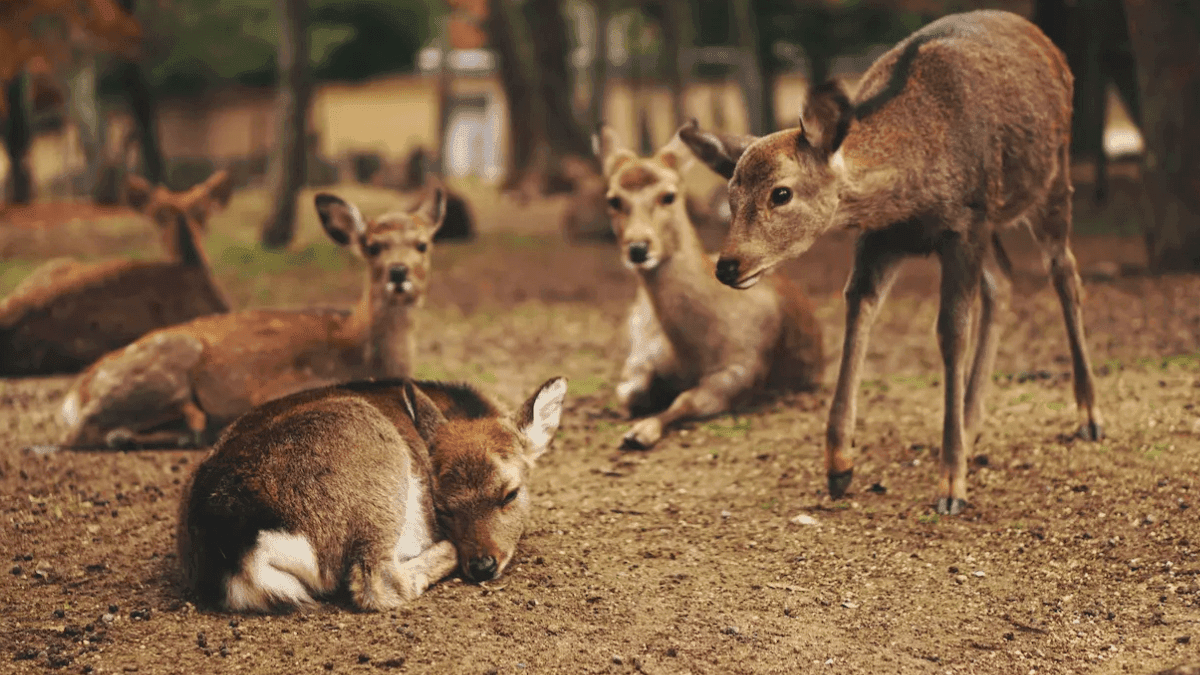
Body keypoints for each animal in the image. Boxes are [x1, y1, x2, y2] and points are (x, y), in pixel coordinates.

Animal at [59, 182, 447, 449]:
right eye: (372, 246)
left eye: (423, 244)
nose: (399, 272)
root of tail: (75, 393)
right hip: (166, 368)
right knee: (82, 432)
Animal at [595, 126, 824, 450]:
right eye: (613, 199)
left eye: (669, 195)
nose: (638, 248)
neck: (691, 351)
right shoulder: (640, 353)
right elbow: (629, 391)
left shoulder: (742, 368)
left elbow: (686, 400)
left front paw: (639, 433)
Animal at [679, 10, 1104, 516]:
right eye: (730, 195)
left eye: (780, 193)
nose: (728, 265)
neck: (911, 192)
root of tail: (1044, 41)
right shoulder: (883, 237)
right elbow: (858, 309)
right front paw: (839, 466)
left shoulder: (964, 225)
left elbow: (950, 332)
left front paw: (951, 485)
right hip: (994, 222)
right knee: (1003, 279)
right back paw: (971, 420)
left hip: (1052, 177)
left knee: (1064, 272)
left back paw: (1089, 416)